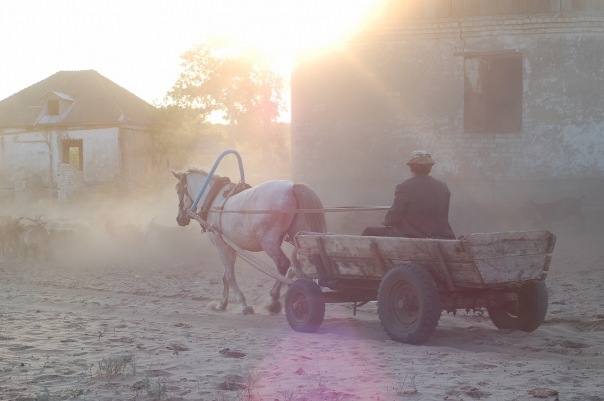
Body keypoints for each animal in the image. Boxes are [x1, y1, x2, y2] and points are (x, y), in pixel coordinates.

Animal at [172, 167, 328, 314]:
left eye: (178, 190)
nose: (179, 219)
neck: (214, 200)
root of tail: (292, 186)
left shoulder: (221, 244)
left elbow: (230, 275)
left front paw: (243, 304)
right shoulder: (231, 247)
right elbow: (225, 276)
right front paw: (222, 304)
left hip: (269, 241)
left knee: (283, 264)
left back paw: (274, 300)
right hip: (299, 236)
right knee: (298, 266)